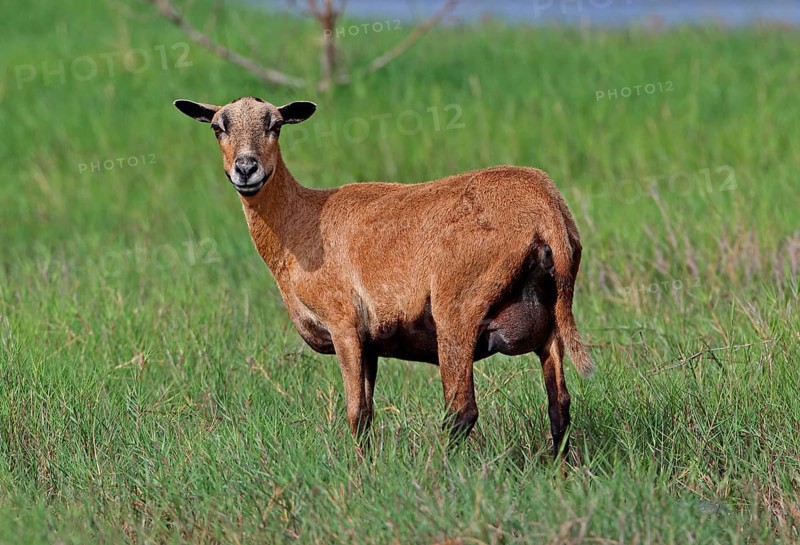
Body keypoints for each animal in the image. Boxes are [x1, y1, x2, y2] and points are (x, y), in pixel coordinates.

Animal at [174, 96, 594, 458]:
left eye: (275, 125)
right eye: (218, 127)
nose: (246, 169)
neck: (300, 223)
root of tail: (546, 210)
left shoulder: (343, 324)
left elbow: (355, 413)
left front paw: (359, 472)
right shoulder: (371, 342)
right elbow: (369, 411)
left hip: (458, 309)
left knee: (461, 411)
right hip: (549, 321)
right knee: (559, 407)